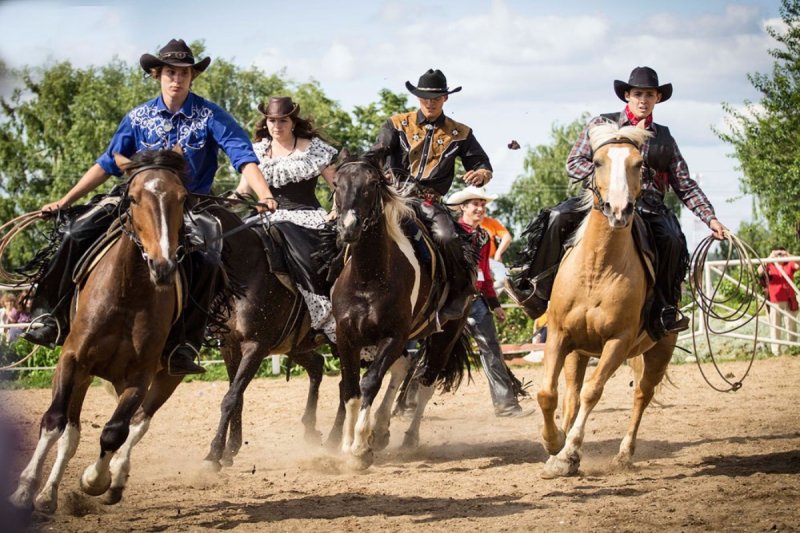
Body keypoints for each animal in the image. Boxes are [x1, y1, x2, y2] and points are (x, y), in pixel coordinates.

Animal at [10, 148, 189, 512]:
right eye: (133, 198)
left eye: (182, 198)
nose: (163, 266)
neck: (127, 294)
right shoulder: (72, 359)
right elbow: (54, 422)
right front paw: (25, 489)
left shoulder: (140, 377)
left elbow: (114, 431)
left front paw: (95, 479)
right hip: (82, 373)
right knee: (71, 432)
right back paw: (47, 494)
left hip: (167, 377)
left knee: (137, 424)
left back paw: (113, 480)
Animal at [330, 152, 468, 468]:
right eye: (336, 184)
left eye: (371, 184)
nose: (348, 228)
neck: (368, 278)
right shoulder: (346, 338)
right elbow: (351, 389)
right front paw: (347, 445)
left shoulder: (393, 336)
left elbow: (369, 383)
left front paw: (359, 449)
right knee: (403, 368)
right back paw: (380, 431)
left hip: (445, 337)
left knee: (425, 383)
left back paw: (409, 438)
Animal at [540, 121, 680, 478]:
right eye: (597, 161)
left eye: (639, 164)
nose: (619, 210)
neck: (597, 269)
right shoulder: (558, 335)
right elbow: (548, 393)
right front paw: (554, 444)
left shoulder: (618, 341)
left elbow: (593, 392)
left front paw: (568, 453)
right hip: (577, 352)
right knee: (570, 396)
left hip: (659, 350)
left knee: (642, 394)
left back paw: (623, 455)